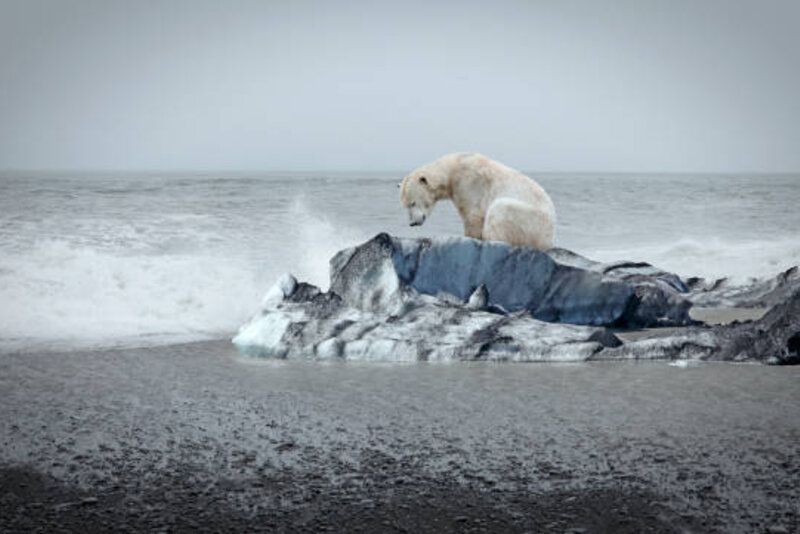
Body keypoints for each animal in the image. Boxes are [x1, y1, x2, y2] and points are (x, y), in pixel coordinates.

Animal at [400, 153, 556, 249]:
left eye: (412, 202)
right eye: (406, 206)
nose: (412, 223)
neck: (454, 167)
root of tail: (549, 238)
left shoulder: (469, 184)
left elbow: (473, 216)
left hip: (532, 220)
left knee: (500, 208)